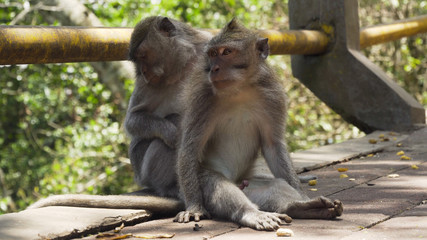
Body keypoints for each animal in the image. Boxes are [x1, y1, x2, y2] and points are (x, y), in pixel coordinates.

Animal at [174, 18, 344, 231]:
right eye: (212, 54)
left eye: (226, 52)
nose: (213, 69)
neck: (239, 90)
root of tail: (239, 182)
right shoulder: (201, 100)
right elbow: (190, 149)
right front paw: (194, 207)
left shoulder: (273, 96)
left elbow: (273, 145)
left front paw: (303, 197)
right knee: (218, 184)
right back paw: (252, 213)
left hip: (251, 184)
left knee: (275, 184)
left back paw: (302, 207)